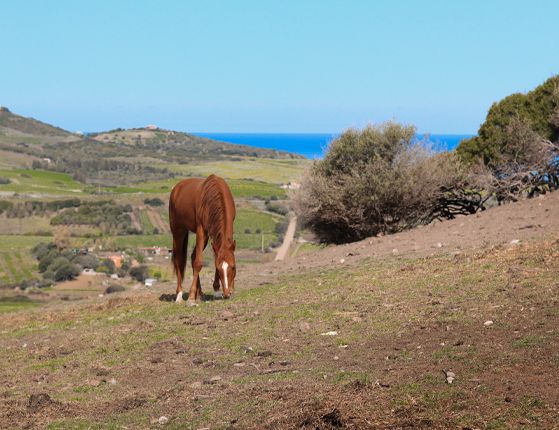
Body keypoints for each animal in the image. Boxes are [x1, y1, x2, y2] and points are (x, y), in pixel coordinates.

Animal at [167, 173, 235, 304]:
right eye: (219, 269)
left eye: (233, 267)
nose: (227, 294)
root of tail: (176, 188)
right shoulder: (201, 230)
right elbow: (198, 263)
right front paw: (191, 298)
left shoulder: (215, 231)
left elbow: (213, 258)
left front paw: (216, 292)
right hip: (178, 231)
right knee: (179, 261)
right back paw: (180, 295)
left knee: (193, 256)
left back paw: (199, 294)